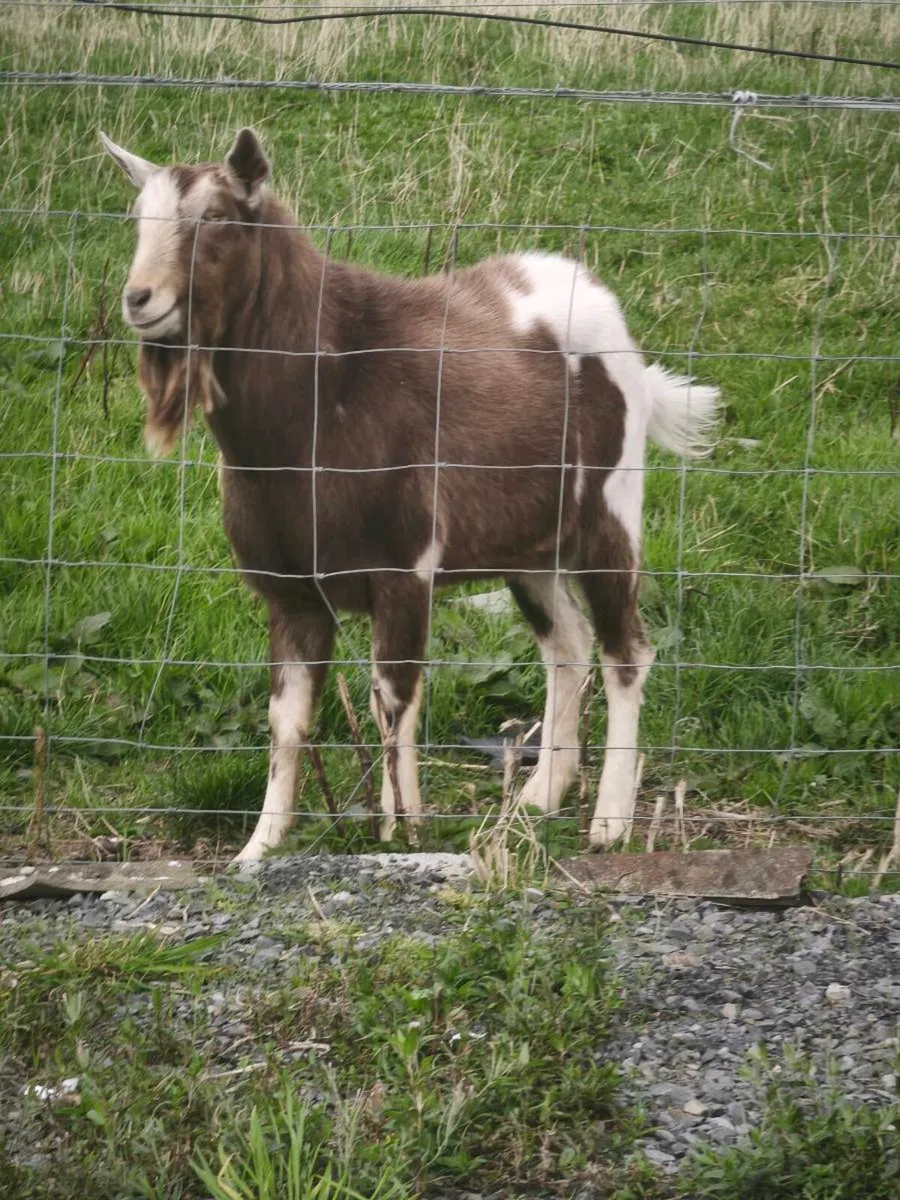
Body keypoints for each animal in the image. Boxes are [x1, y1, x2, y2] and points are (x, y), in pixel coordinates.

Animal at [100, 127, 720, 861]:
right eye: (138, 218)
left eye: (217, 217)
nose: (139, 298)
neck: (323, 399)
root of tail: (606, 311)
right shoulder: (291, 591)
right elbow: (287, 719)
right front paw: (259, 848)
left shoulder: (403, 570)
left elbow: (393, 703)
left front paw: (399, 832)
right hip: (526, 547)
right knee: (566, 644)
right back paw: (539, 797)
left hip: (607, 513)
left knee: (626, 651)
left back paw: (609, 822)